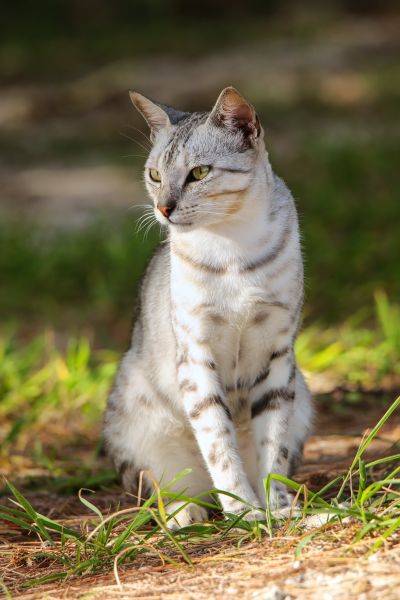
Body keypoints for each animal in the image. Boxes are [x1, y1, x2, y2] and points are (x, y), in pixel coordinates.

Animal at [103, 86, 312, 528]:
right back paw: (188, 513)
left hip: (302, 396)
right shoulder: (196, 356)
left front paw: (275, 508)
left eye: (199, 173)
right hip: (136, 425)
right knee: (170, 486)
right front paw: (243, 511)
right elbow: (218, 445)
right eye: (155, 175)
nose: (163, 208)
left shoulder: (277, 353)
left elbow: (274, 448)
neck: (232, 247)